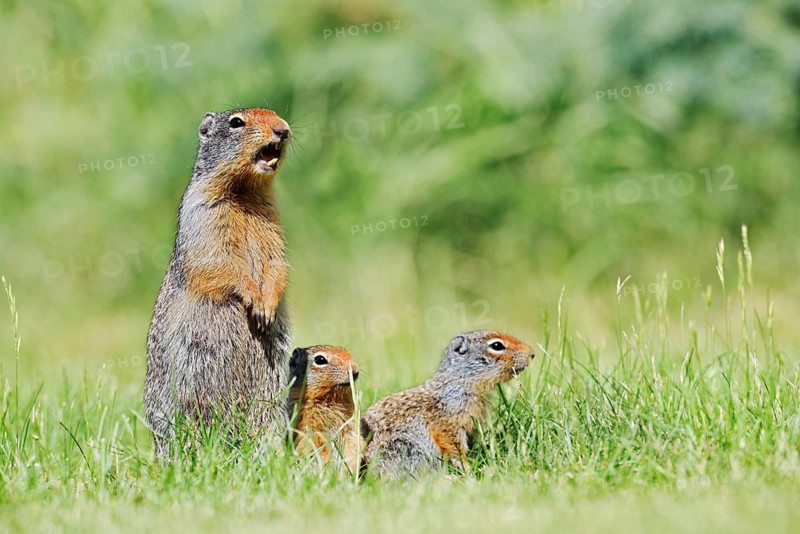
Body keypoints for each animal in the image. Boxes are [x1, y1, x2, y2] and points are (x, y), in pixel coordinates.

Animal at [144, 108, 293, 455]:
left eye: (277, 114)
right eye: (236, 122)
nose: (284, 130)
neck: (245, 192)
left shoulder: (274, 223)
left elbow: (277, 263)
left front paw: (268, 306)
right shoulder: (204, 215)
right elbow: (219, 262)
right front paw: (255, 301)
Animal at [361, 330, 535, 478]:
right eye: (497, 345)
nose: (532, 353)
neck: (461, 380)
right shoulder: (448, 421)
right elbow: (454, 445)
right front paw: (468, 467)